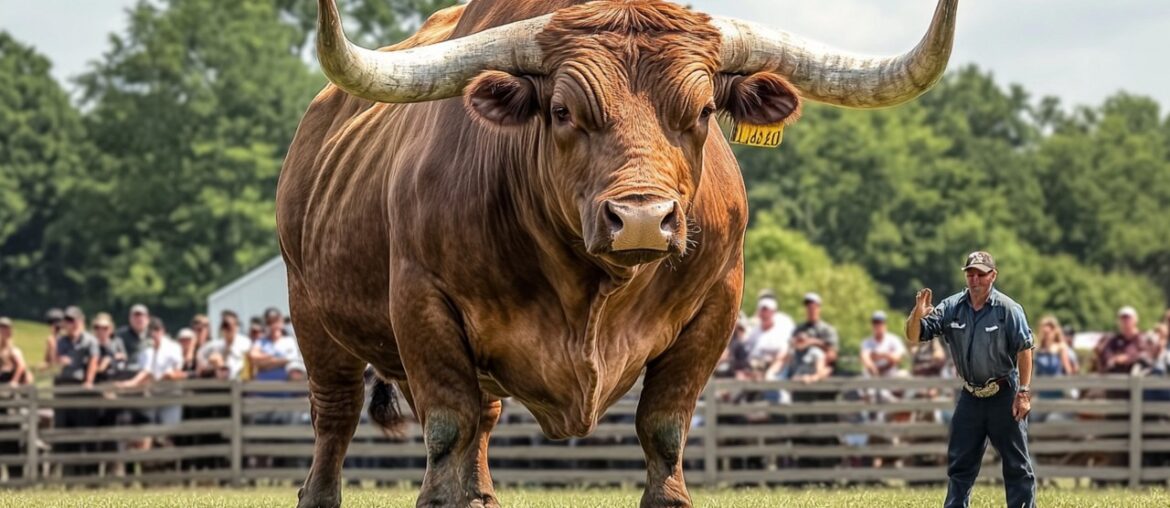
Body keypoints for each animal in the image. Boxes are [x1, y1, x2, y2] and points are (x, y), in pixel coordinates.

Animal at [276, 1, 957, 506]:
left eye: (704, 110)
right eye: (561, 110)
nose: (641, 219)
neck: (590, 292)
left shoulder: (717, 306)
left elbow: (664, 427)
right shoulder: (423, 304)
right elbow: (447, 427)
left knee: (485, 422)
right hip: (309, 311)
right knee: (335, 418)